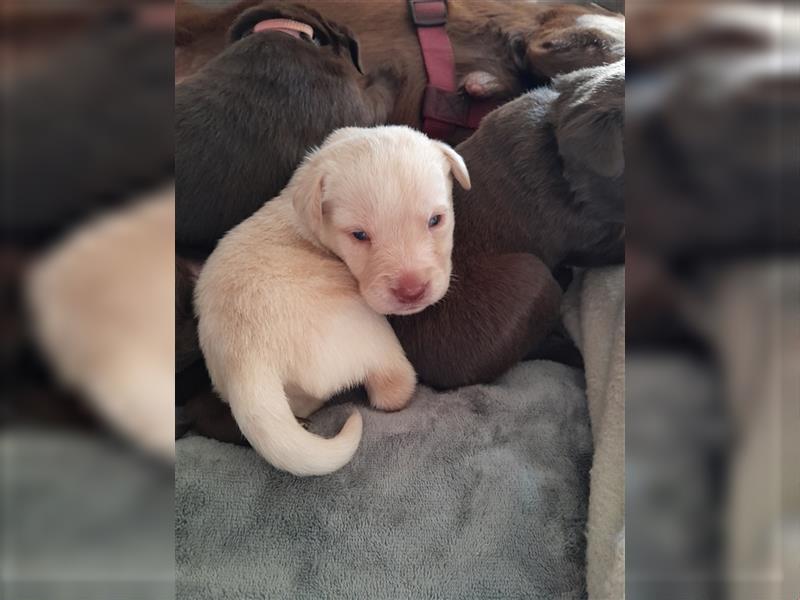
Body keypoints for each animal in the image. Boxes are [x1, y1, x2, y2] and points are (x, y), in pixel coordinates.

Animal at [195, 127, 468, 478]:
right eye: (359, 235)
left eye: (436, 220)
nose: (411, 291)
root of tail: (247, 363)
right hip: (374, 335)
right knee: (393, 389)